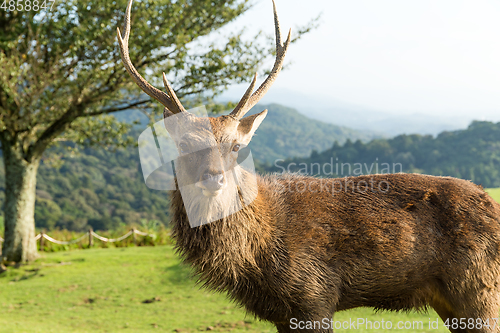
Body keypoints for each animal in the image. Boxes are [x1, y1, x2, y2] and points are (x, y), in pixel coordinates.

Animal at [117, 1, 500, 330]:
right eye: (183, 145)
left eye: (237, 146)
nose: (213, 178)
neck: (257, 259)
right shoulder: (282, 313)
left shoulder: (314, 295)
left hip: (480, 289)